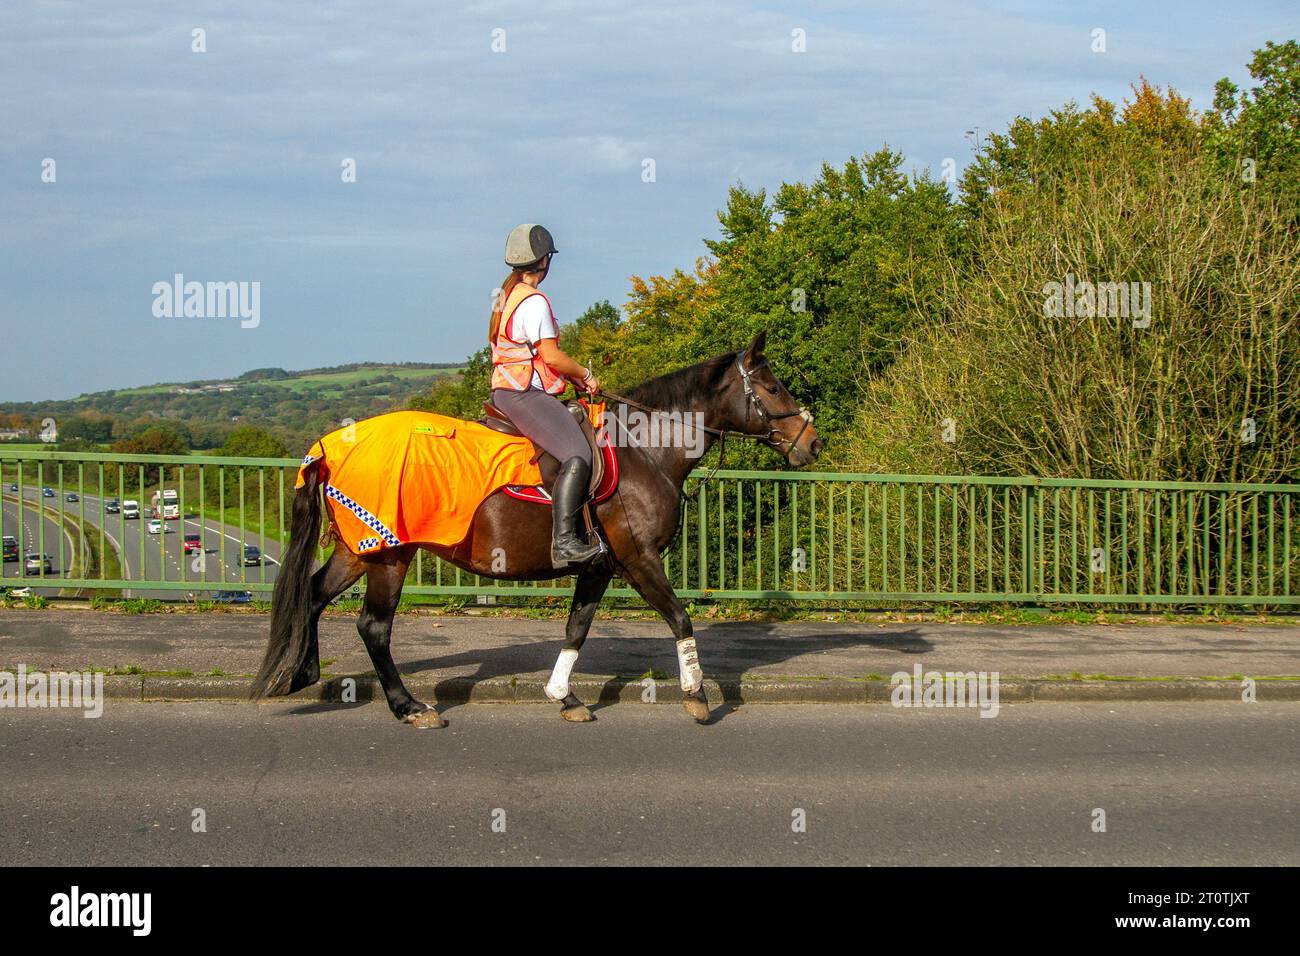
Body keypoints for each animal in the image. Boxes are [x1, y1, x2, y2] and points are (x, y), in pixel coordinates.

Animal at [250, 331, 822, 727]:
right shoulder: (638, 559)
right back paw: (408, 707)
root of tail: (331, 443)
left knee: (312, 594)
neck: (645, 451)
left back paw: (301, 673)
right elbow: (680, 619)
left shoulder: (601, 565)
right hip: (389, 554)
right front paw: (696, 697)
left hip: (359, 550)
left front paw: (564, 697)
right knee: (373, 626)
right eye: (772, 387)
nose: (812, 444)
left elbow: (577, 628)